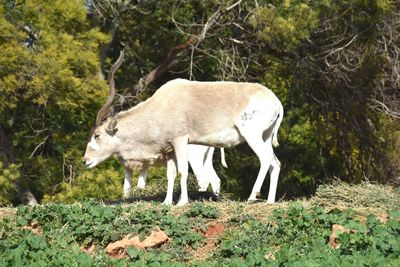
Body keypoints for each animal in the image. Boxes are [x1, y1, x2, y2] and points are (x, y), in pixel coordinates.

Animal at [83, 50, 284, 207]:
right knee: (275, 162)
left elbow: (183, 171)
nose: (86, 161)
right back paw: (270, 201)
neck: (162, 104)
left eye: (97, 135)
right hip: (265, 137)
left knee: (265, 159)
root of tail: (276, 102)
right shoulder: (170, 148)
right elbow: (171, 174)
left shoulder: (180, 140)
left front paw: (182, 202)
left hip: (252, 135)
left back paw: (252, 196)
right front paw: (166, 202)